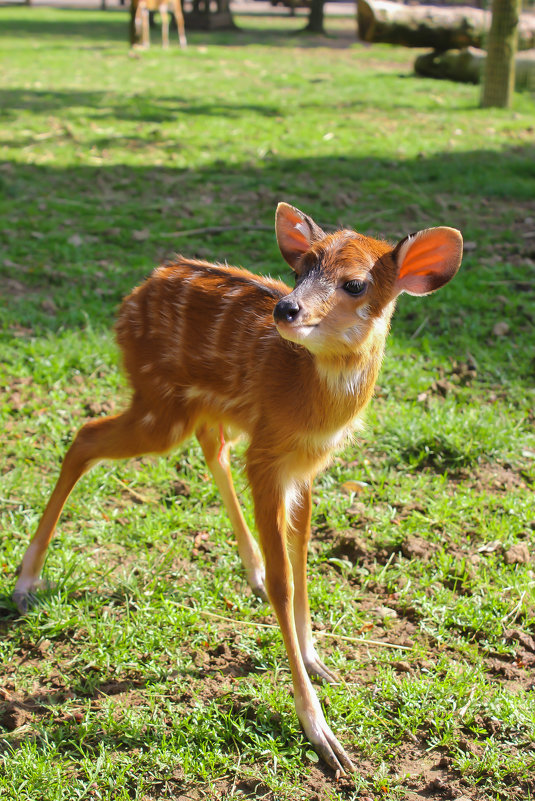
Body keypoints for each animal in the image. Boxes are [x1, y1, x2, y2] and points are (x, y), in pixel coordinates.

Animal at [14, 203, 462, 772]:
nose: (286, 309)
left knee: (208, 446)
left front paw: (318, 659)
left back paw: (248, 572)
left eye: (356, 283)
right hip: (161, 405)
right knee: (86, 436)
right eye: (301, 268)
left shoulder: (304, 468)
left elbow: (302, 557)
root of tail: (133, 298)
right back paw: (26, 582)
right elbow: (286, 579)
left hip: (190, 407)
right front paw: (321, 734)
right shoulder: (268, 454)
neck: (308, 399)